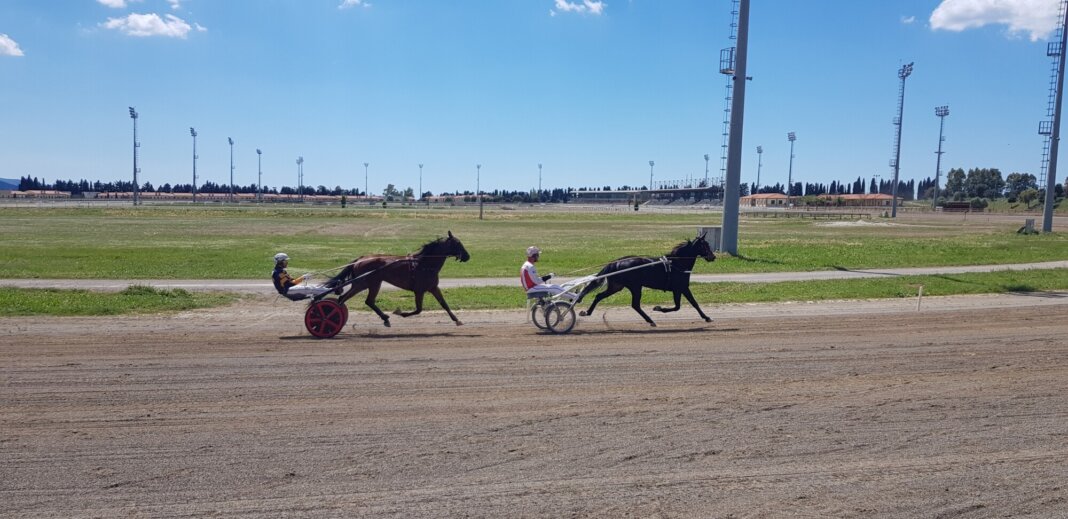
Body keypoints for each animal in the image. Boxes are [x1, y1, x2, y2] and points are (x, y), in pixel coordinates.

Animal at [322, 231, 469, 326]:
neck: (424, 264)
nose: (468, 256)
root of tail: (360, 260)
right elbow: (418, 309)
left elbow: (444, 304)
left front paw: (457, 320)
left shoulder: (433, 287)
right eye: (458, 243)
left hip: (371, 283)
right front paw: (400, 312)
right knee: (345, 299)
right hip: (364, 284)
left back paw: (384, 318)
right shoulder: (419, 290)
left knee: (367, 301)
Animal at [576, 236, 717, 326]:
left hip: (617, 286)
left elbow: (679, 306)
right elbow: (691, 304)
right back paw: (650, 320)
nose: (713, 257)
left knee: (599, 296)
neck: (677, 263)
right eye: (705, 245)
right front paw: (707, 317)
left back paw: (587, 312)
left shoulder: (677, 289)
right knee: (635, 305)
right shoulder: (682, 287)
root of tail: (616, 262)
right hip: (635, 286)